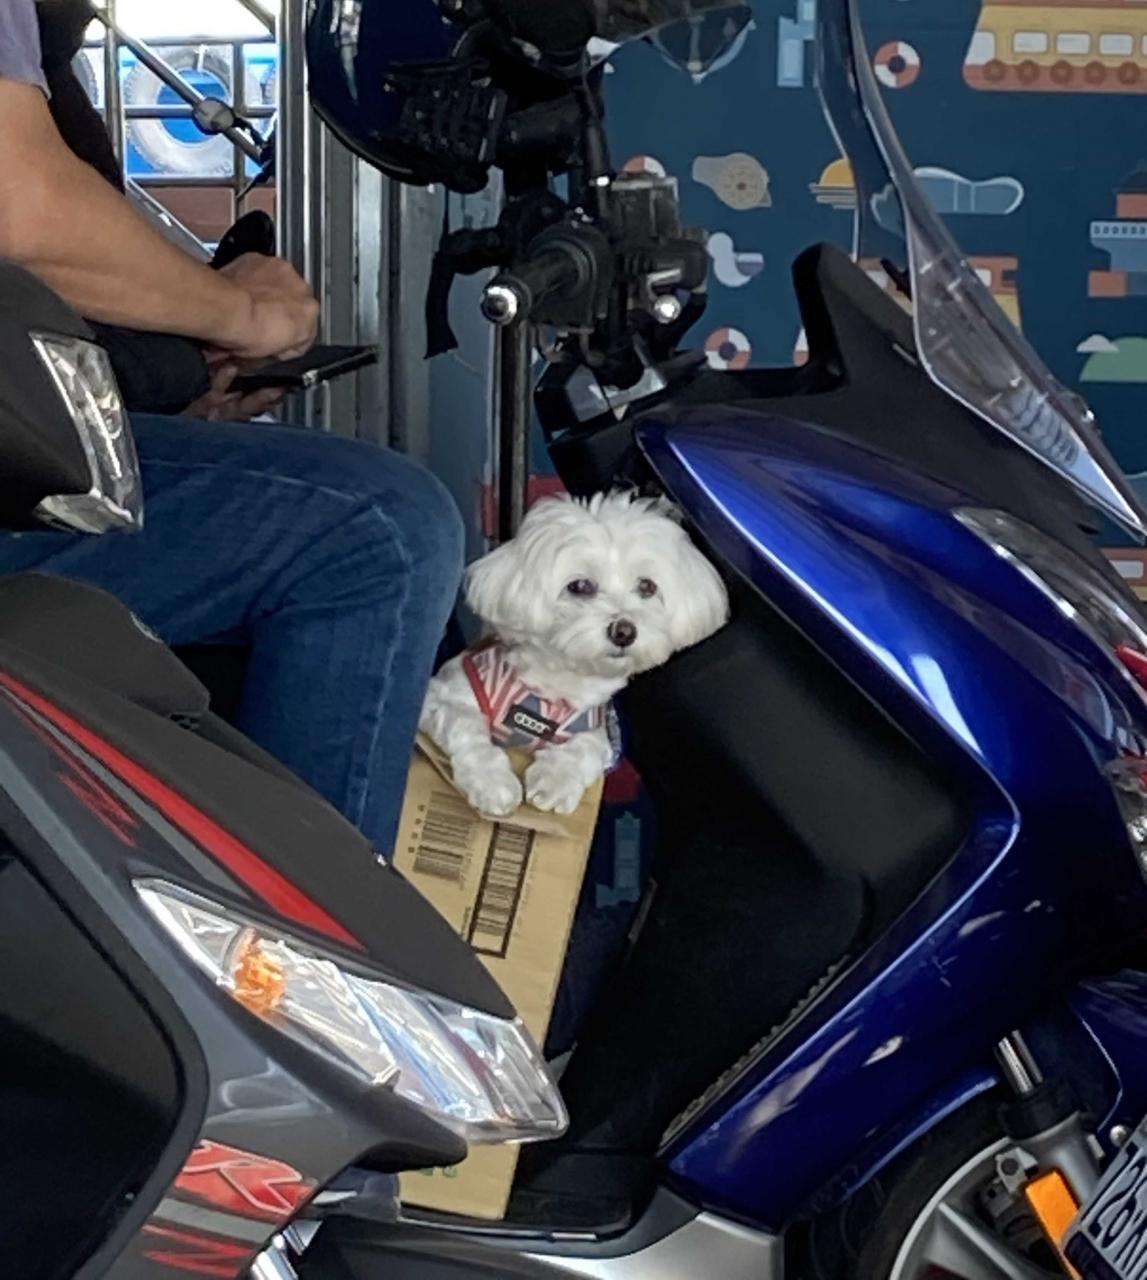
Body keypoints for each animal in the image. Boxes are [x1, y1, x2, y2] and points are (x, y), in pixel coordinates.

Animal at [421, 491, 730, 817]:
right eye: (580, 585)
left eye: (647, 586)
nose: (624, 631)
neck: (556, 690)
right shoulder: (443, 697)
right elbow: (469, 730)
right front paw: (494, 783)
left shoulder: (600, 731)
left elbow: (583, 750)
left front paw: (554, 782)